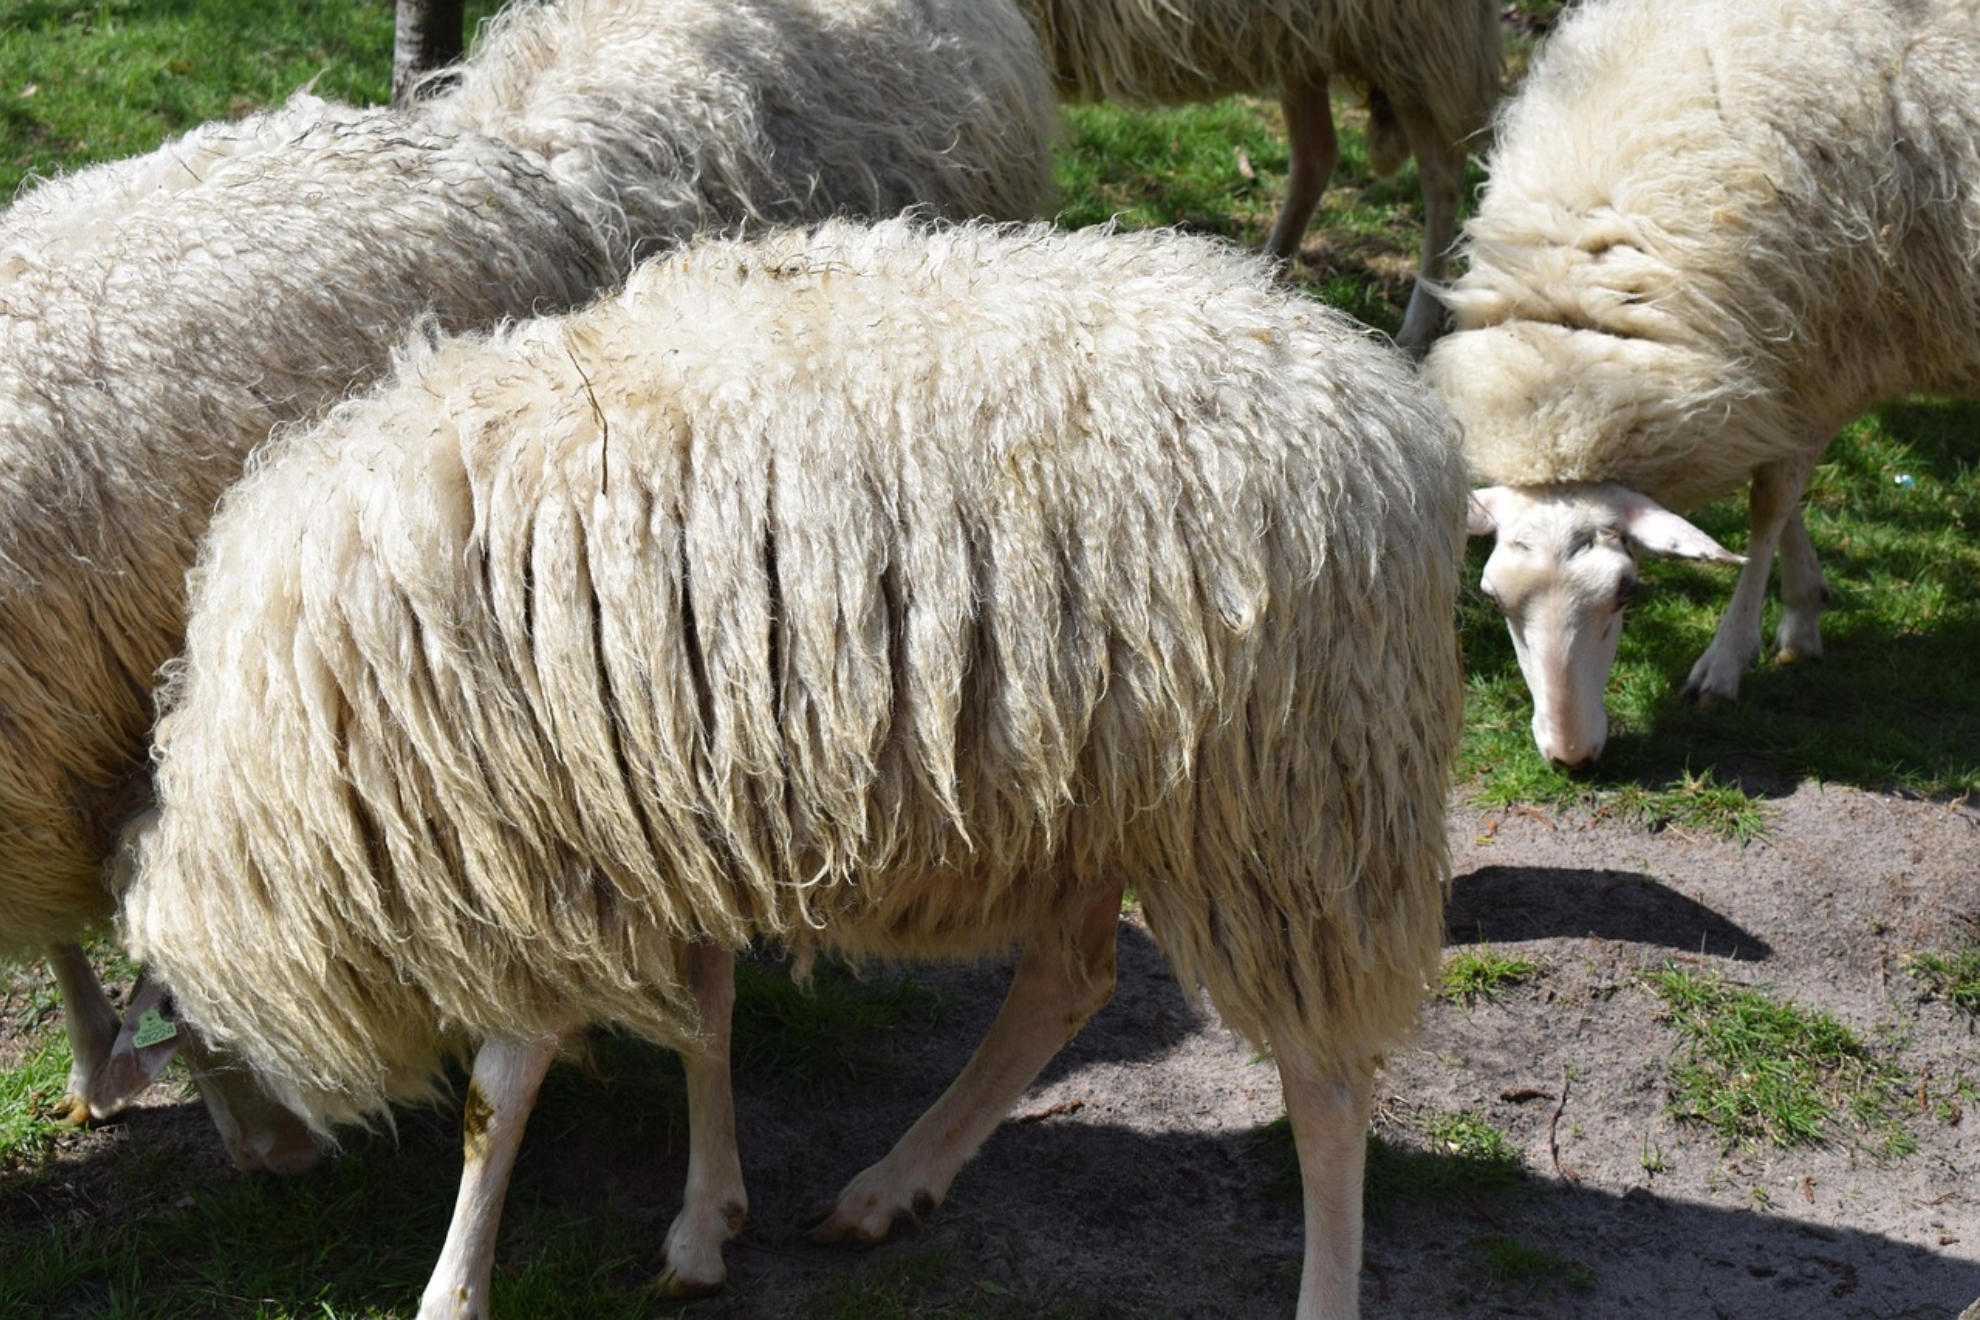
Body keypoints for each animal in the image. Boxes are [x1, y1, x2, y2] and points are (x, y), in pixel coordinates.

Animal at [119, 216, 1468, 1319]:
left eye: (193, 1050)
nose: (271, 1172)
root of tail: (1403, 427)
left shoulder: (531, 848)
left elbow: (502, 1088)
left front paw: (455, 1285)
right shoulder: (665, 815)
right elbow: (704, 1015)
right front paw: (706, 1221)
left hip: (1291, 803)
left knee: (1326, 1089)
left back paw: (1318, 1289)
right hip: (1111, 795)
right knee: (1068, 982)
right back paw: (893, 1183)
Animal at [1014, 0, 1500, 350]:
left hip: (1415, 38)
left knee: (1443, 176)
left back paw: (1417, 327)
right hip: (1300, 42)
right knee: (1317, 154)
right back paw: (1264, 273)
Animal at [1420, 0, 1980, 766]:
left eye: (1627, 594)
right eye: (1494, 599)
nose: (1571, 757)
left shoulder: (1819, 348)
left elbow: (1770, 504)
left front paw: (1727, 659)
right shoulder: (1778, 366)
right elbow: (1784, 490)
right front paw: (1804, 608)